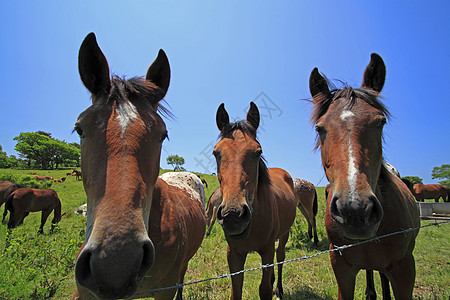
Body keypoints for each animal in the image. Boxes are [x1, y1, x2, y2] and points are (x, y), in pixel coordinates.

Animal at [214, 102, 298, 298]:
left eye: (258, 152)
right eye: (216, 153)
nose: (233, 214)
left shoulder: (266, 251)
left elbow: (264, 289)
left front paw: (272, 288)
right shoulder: (234, 254)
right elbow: (236, 291)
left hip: (284, 235)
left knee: (280, 258)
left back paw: (279, 289)